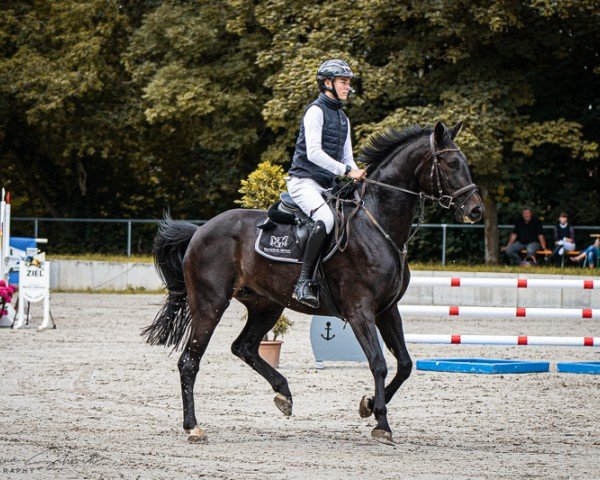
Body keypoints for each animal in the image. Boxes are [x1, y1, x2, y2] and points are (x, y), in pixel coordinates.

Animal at [143, 121, 486, 446]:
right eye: (451, 163)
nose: (476, 210)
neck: (378, 224)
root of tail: (199, 231)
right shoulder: (360, 311)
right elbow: (378, 363)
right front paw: (382, 424)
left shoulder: (387, 310)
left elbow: (404, 364)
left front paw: (369, 405)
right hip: (211, 304)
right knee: (189, 362)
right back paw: (193, 427)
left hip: (266, 305)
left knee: (244, 347)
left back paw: (283, 394)